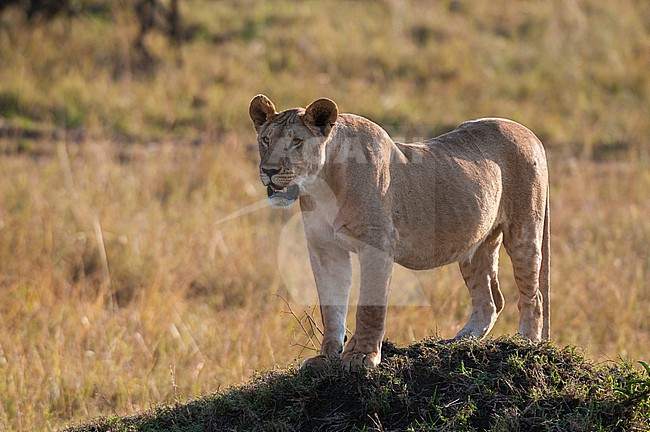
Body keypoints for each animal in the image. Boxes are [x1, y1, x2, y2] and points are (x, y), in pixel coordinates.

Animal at [249, 94, 550, 371]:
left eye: (296, 142)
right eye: (266, 140)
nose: (269, 170)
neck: (322, 185)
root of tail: (527, 132)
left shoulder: (376, 246)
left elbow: (370, 306)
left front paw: (362, 356)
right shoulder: (325, 250)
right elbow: (331, 307)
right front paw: (326, 357)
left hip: (524, 230)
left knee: (533, 296)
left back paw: (525, 344)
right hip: (475, 243)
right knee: (489, 300)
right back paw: (458, 342)